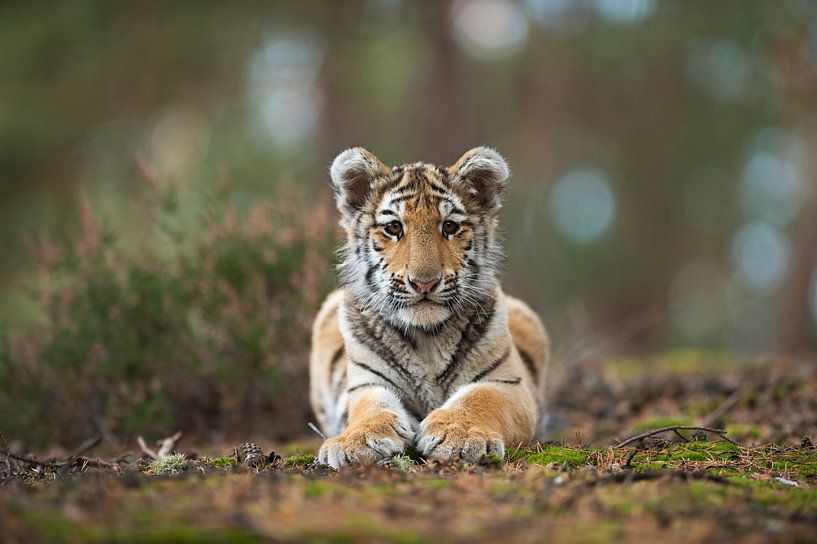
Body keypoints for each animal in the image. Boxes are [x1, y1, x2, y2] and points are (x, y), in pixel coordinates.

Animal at [309, 146, 549, 468]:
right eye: (394, 227)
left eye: (449, 226)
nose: (425, 283)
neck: (427, 339)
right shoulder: (368, 384)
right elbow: (370, 410)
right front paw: (355, 441)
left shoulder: (508, 384)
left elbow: (478, 399)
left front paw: (458, 433)